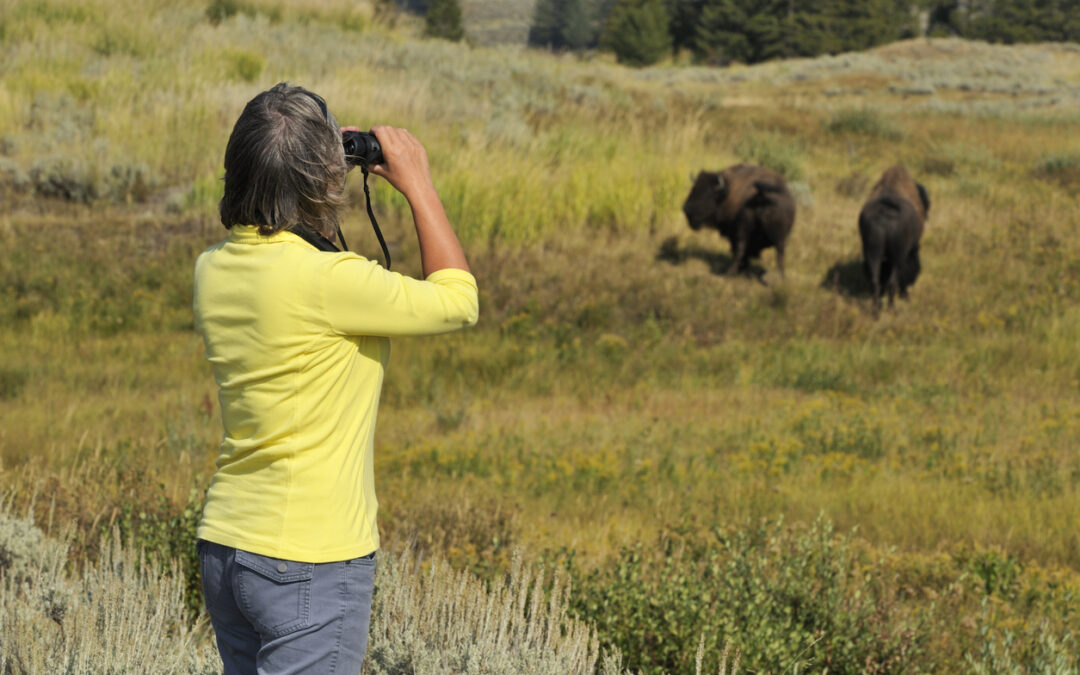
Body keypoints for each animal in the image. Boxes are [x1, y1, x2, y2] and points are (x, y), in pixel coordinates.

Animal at [859, 167, 928, 308]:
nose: (912, 282)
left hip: (872, 252)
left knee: (875, 280)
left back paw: (877, 308)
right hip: (897, 257)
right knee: (892, 281)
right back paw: (892, 307)